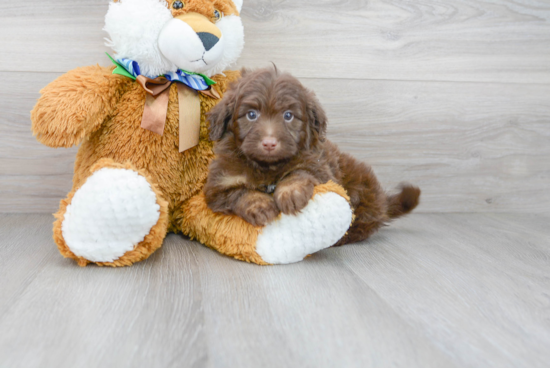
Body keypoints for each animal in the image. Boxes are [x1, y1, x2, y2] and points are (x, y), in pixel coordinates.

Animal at [205, 68, 420, 247]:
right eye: (251, 115)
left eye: (288, 116)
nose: (269, 143)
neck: (267, 167)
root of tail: (383, 202)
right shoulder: (219, 186)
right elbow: (239, 192)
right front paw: (259, 205)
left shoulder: (318, 167)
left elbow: (299, 172)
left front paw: (290, 193)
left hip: (362, 192)